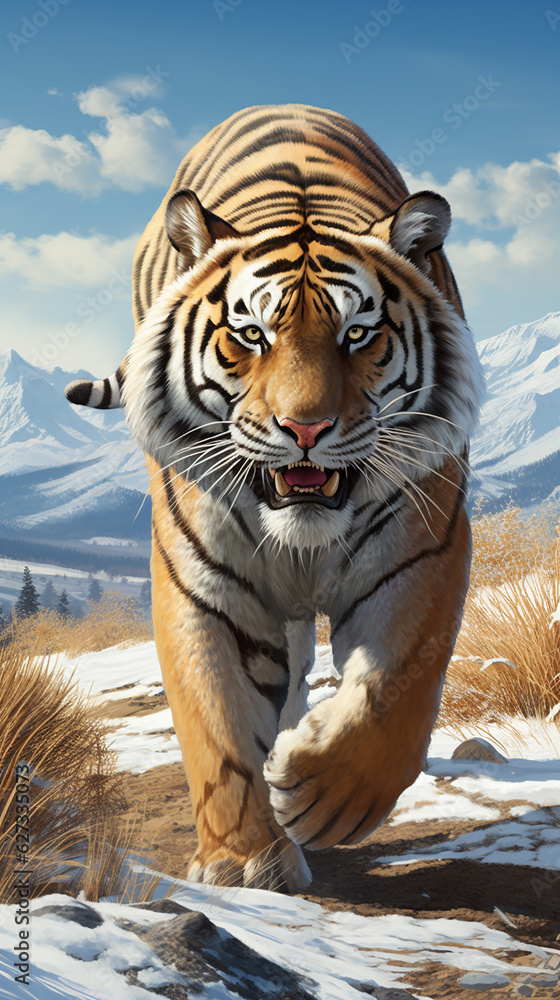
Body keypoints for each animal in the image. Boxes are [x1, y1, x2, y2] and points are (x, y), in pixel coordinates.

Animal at [65, 104, 483, 892]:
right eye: (251, 335)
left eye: (359, 333)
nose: (306, 428)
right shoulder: (204, 580)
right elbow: (217, 721)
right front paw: (244, 864)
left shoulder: (424, 548)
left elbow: (396, 687)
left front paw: (325, 796)